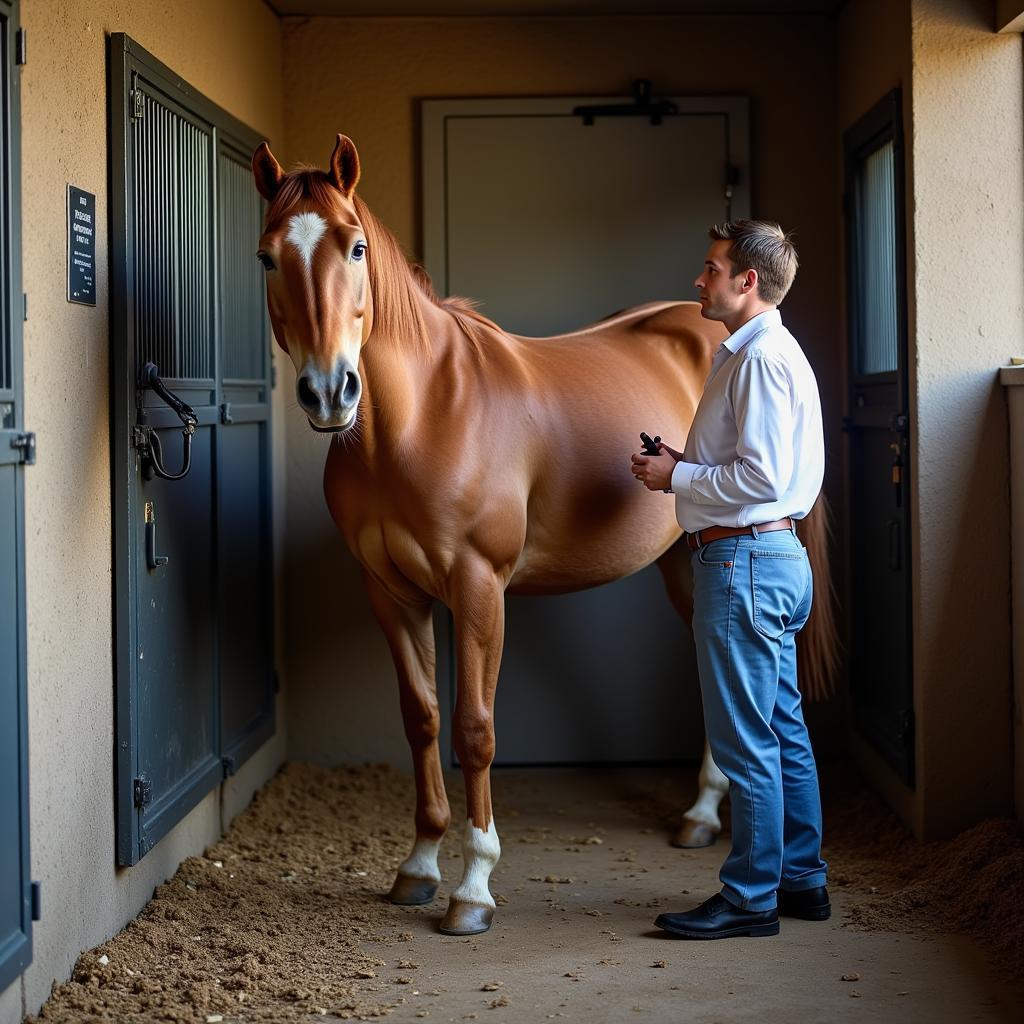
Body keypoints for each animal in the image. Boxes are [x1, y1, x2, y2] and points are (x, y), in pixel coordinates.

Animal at [251, 136, 835, 937]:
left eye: (356, 246)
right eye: (268, 257)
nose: (328, 392)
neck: (424, 414)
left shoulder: (479, 587)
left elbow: (474, 728)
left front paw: (474, 888)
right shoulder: (391, 593)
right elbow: (422, 719)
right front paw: (420, 866)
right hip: (682, 561)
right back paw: (702, 814)